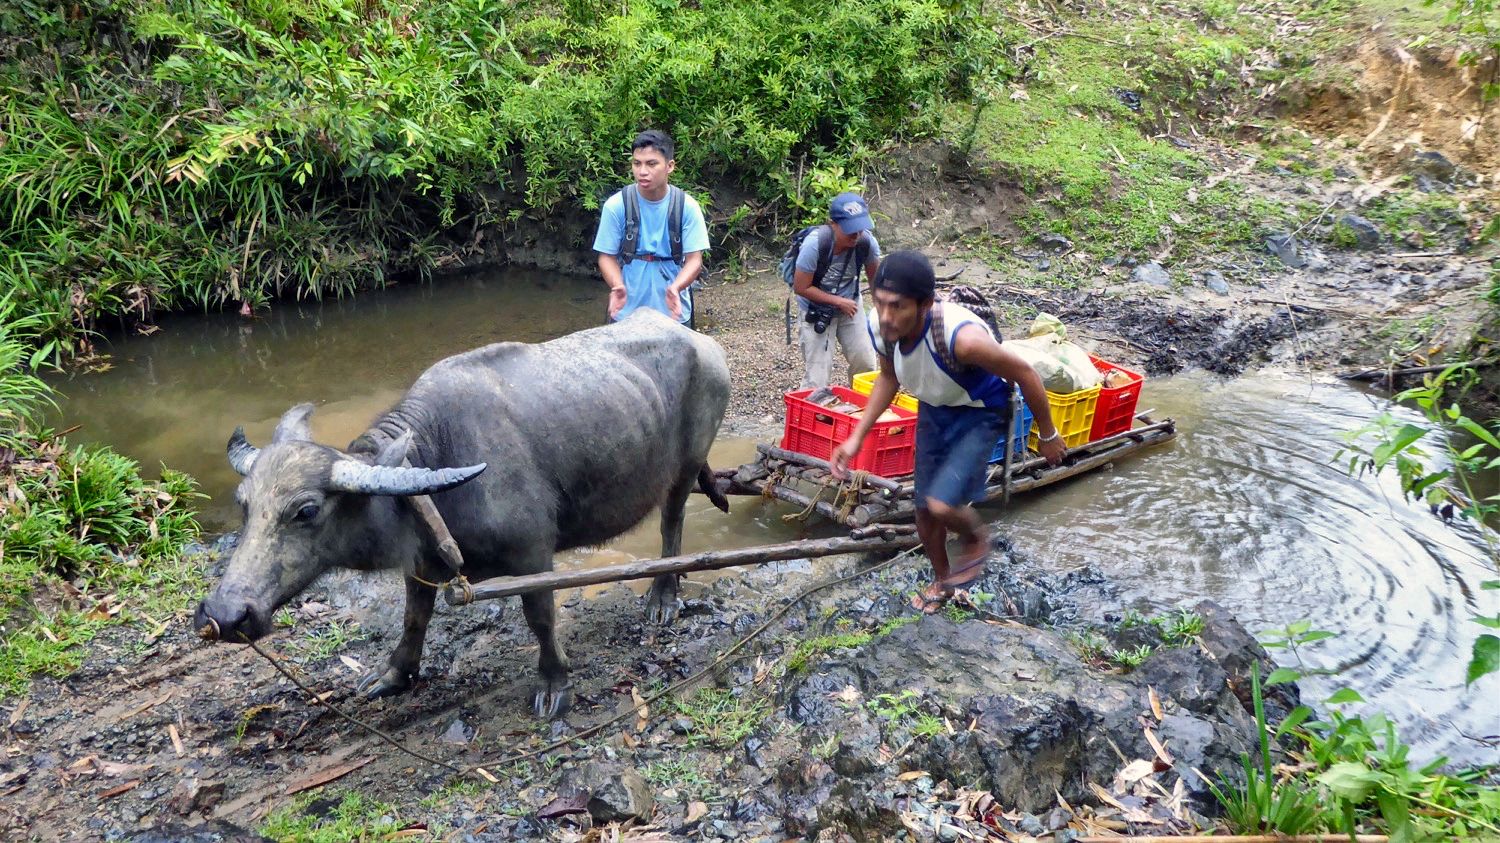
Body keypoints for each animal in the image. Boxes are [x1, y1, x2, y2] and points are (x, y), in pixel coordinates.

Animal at [193, 310, 732, 714]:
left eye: (306, 511)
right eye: (244, 504)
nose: (223, 614)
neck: (439, 456)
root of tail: (701, 341)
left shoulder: (533, 554)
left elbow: (540, 617)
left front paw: (553, 683)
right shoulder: (422, 561)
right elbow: (414, 617)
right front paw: (393, 674)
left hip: (685, 467)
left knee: (672, 522)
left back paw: (663, 596)